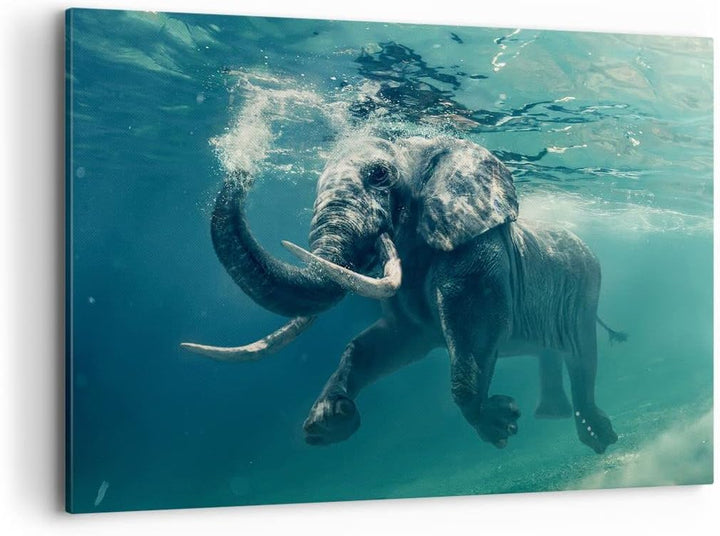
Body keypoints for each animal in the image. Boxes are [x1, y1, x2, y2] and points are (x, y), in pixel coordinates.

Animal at [182, 135, 623, 454]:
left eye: (379, 174)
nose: (242, 169)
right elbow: (381, 344)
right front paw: (327, 423)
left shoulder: (477, 253)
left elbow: (476, 330)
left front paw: (500, 424)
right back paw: (553, 417)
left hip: (587, 291)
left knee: (583, 356)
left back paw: (597, 437)